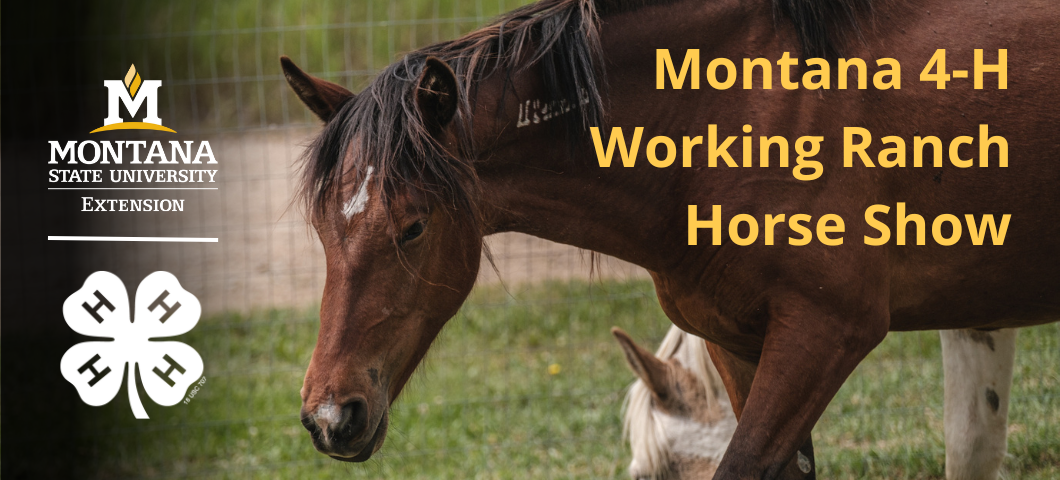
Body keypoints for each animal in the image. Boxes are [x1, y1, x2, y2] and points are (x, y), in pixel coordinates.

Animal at [279, 0, 1060, 472]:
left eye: (412, 225)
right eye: (321, 229)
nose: (330, 415)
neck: (734, 113)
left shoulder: (825, 332)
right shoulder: (741, 343)